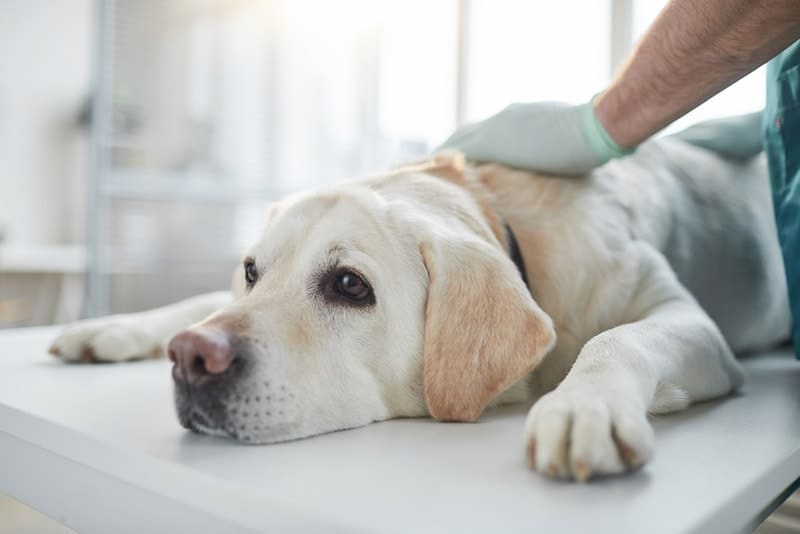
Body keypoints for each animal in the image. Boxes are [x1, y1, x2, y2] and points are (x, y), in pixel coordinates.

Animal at [47, 137, 792, 482]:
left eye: (350, 286)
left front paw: (585, 407)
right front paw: (109, 326)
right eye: (253, 271)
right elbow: (203, 297)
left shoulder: (690, 323)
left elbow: (617, 338)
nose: (189, 358)